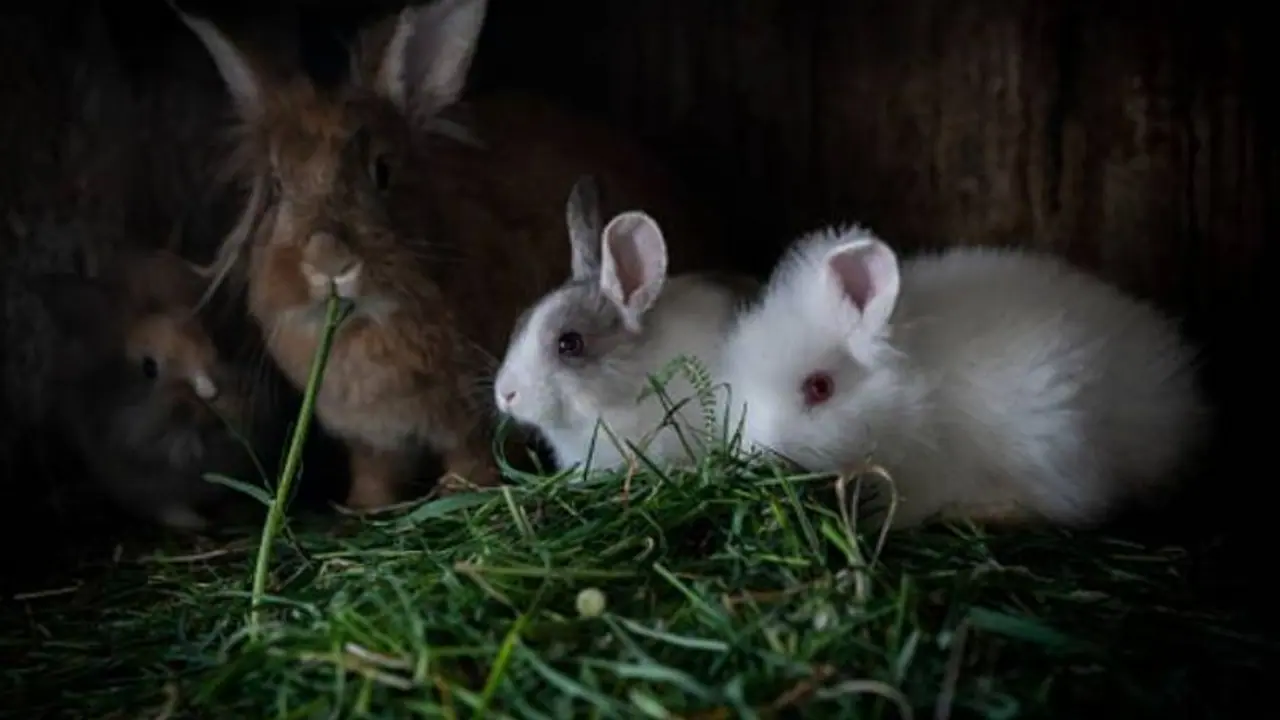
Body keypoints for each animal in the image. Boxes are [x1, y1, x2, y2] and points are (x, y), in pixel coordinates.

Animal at [169, 0, 727, 508]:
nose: (330, 263)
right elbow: (375, 473)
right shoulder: (372, 440)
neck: (367, 325)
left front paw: (456, 492)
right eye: (278, 188)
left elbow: (471, 458)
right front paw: (363, 509)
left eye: (383, 171)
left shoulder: (470, 422)